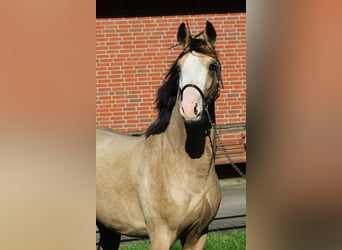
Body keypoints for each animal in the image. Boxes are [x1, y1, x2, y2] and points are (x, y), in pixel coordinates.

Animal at [97, 21, 223, 250]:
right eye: (178, 68)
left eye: (212, 66)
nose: (189, 109)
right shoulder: (161, 235)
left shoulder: (198, 235)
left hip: (108, 228)